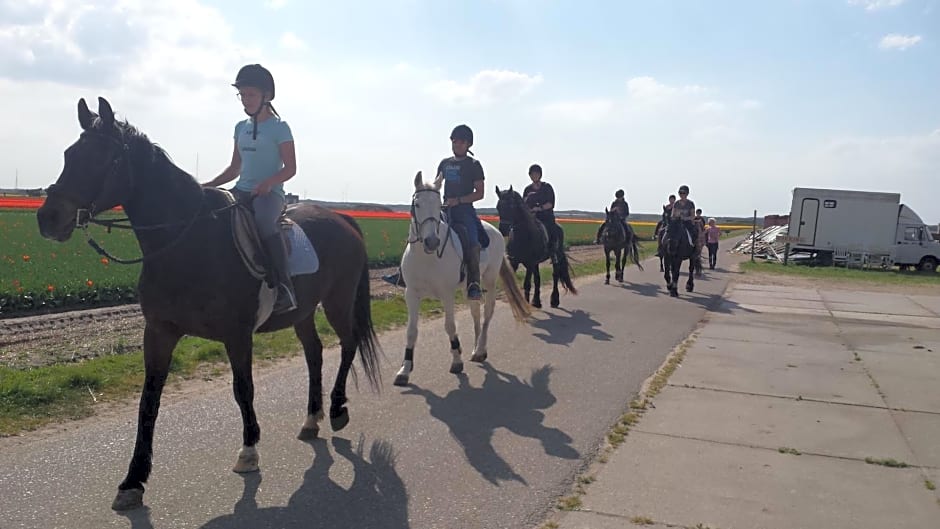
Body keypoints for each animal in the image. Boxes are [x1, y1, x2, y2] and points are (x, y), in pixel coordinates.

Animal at [35, 97, 382, 510]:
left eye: (105, 157)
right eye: (69, 154)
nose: (48, 218)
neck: (187, 241)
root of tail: (342, 217)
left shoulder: (237, 334)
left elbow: (243, 388)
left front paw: (249, 451)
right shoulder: (159, 332)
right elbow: (148, 401)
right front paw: (133, 480)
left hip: (337, 301)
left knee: (347, 345)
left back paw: (336, 409)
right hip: (303, 312)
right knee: (314, 353)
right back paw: (311, 419)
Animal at [392, 171, 532, 386]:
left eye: (438, 205)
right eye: (417, 204)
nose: (432, 242)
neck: (427, 257)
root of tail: (496, 230)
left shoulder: (447, 294)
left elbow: (450, 326)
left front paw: (457, 360)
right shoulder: (412, 294)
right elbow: (411, 331)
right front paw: (405, 370)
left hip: (489, 280)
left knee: (487, 312)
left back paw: (481, 350)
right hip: (471, 286)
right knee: (475, 312)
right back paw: (475, 349)